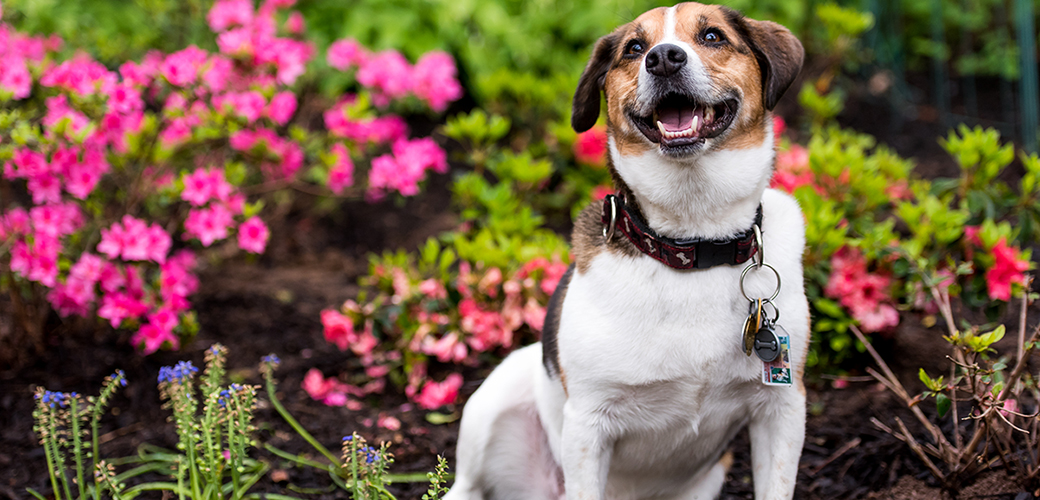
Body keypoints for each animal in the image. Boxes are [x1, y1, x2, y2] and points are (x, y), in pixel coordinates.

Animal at [443, 2, 807, 494]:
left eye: (712, 36)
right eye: (634, 48)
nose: (664, 58)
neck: (691, 244)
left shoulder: (783, 408)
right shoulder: (587, 424)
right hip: (500, 393)